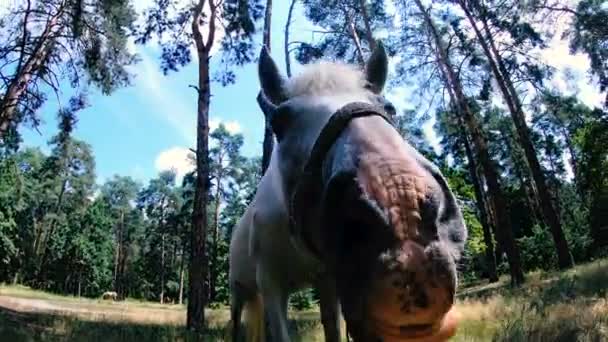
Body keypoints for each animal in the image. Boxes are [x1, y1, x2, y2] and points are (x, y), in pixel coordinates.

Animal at [228, 43, 466, 342]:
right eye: (279, 123)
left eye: (389, 108)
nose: (403, 207)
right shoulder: (271, 284)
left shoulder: (328, 280)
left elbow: (333, 327)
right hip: (239, 291)